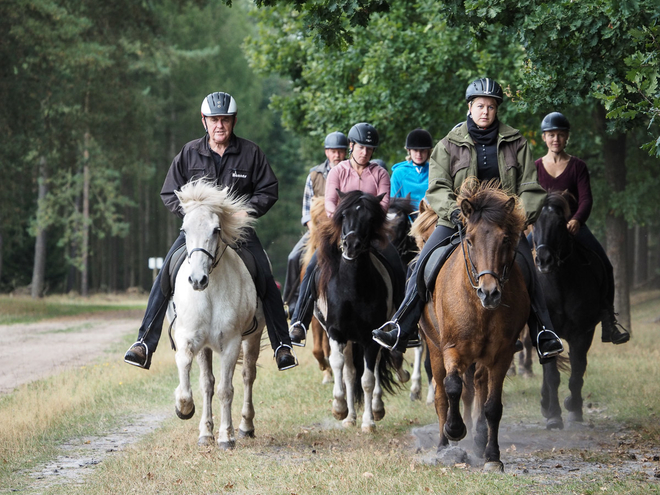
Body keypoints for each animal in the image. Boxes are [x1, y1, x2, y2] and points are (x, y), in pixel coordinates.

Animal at [166, 180, 264, 452]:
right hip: (207, 348)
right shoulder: (191, 340)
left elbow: (225, 390)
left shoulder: (230, 343)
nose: (197, 280)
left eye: (216, 230)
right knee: (208, 383)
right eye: (184, 229)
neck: (208, 294)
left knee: (248, 376)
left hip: (253, 338)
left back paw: (245, 427)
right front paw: (185, 409)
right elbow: (196, 381)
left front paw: (225, 437)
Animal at [314, 192, 402, 432]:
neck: (352, 288)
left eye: (370, 218)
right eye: (343, 214)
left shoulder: (371, 338)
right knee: (349, 372)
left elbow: (368, 380)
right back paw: (350, 417)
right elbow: (339, 366)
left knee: (375, 368)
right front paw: (339, 408)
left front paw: (369, 422)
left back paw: (376, 409)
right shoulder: (336, 333)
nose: (351, 245)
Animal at [422, 181, 532, 472]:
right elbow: (452, 387)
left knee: (479, 389)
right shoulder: (451, 349)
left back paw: (479, 441)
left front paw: (492, 456)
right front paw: (455, 429)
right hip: (434, 349)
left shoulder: (502, 355)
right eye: (469, 240)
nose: (489, 292)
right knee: (442, 395)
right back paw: (443, 446)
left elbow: (492, 406)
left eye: (505, 239)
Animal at [532, 191, 604, 430]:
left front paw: (574, 408)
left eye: (560, 224)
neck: (559, 285)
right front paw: (554, 416)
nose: (544, 260)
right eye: (534, 222)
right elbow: (552, 376)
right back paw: (546, 404)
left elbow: (577, 370)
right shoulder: (544, 332)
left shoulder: (582, 333)